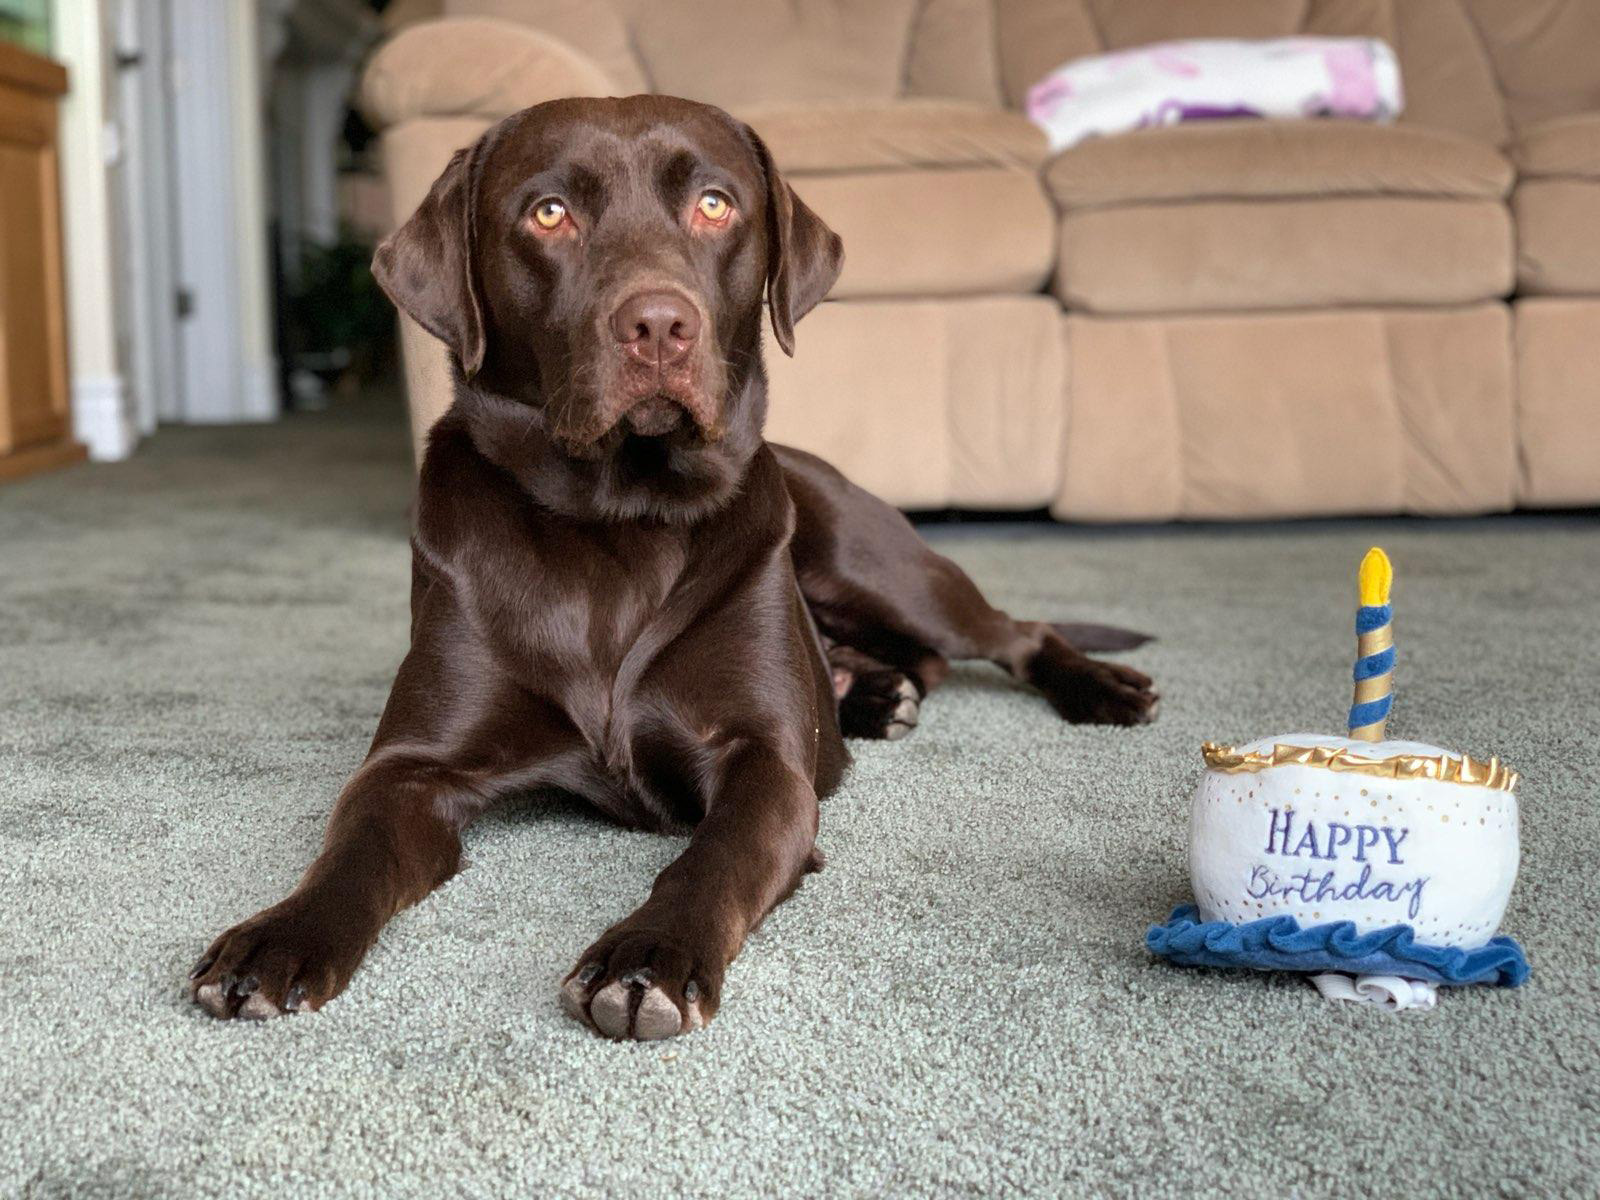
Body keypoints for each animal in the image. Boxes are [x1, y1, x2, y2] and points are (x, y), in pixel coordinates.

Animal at [187, 98, 1158, 1036]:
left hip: (876, 563)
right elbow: (351, 850)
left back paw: (1101, 689)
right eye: (549, 213)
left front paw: (648, 958)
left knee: (1010, 633)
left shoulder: (764, 764)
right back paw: (876, 695)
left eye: (715, 204)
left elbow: (712, 857)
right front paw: (278, 937)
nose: (658, 324)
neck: (618, 521)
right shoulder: (411, 765)